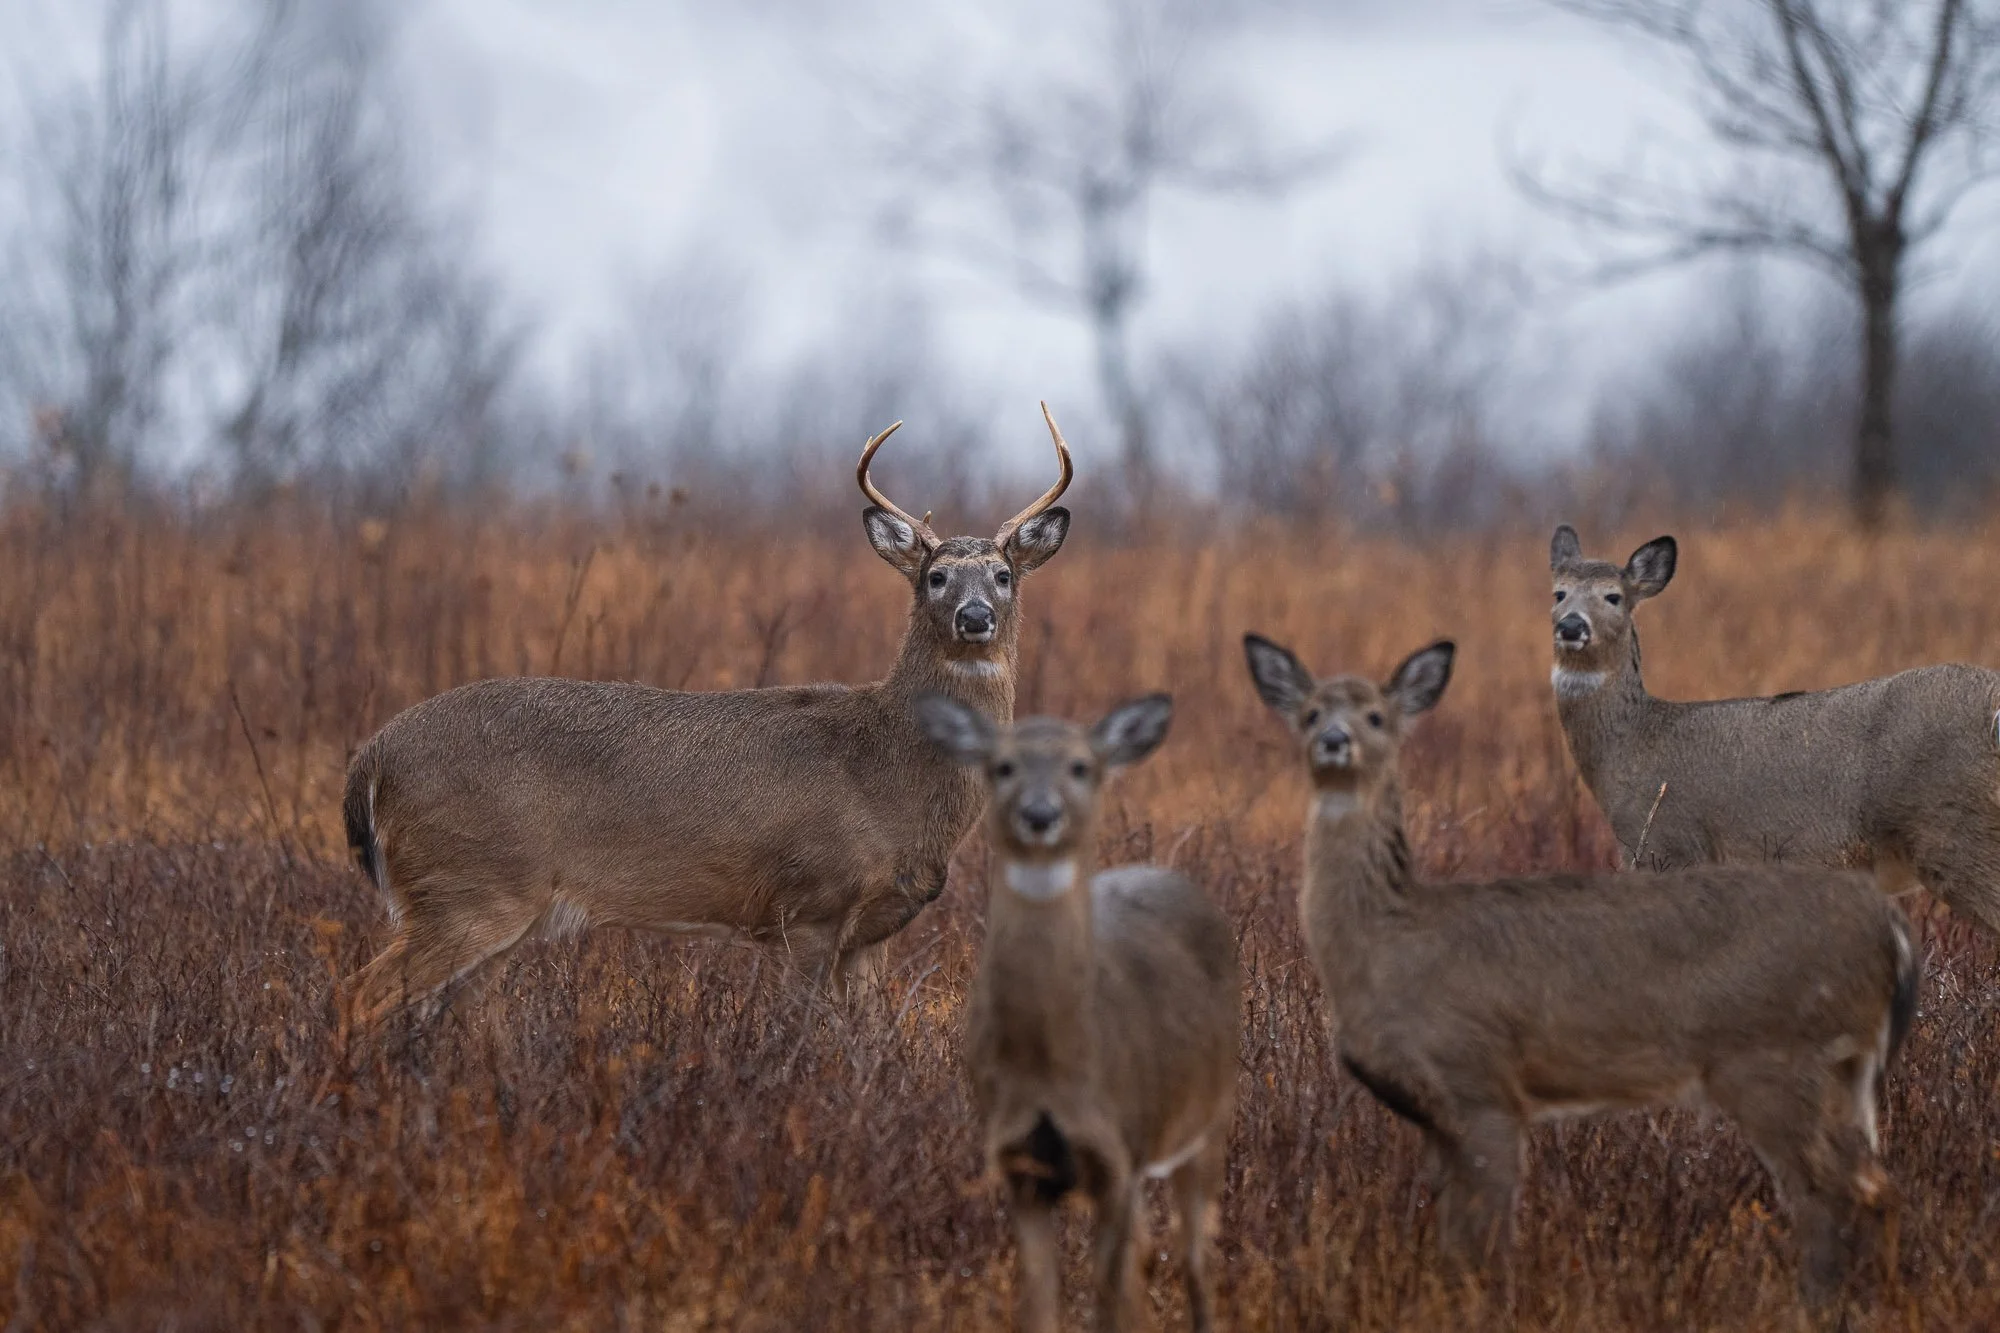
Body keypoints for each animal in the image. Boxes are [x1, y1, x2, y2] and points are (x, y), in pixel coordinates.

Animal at [339, 406, 1076, 1027]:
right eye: (935, 577)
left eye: (1003, 575)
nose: (974, 617)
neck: (889, 770)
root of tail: (369, 759)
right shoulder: (808, 906)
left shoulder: (872, 933)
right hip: (469, 887)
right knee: (357, 997)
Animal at [915, 692, 1241, 1333]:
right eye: (1003, 766)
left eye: (1080, 767)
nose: (1041, 815)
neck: (1053, 1069)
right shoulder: (1019, 1164)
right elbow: (1040, 1303)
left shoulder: (1120, 1151)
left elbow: (1107, 1299)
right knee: (1149, 1255)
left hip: (1207, 1120)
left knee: (1195, 1259)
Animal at [1244, 632, 1919, 1308]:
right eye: (1309, 713)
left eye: (1376, 716)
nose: (1335, 740)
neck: (1388, 941)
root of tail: (1889, 928)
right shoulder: (1439, 1118)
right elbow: (1453, 1247)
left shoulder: (1481, 1085)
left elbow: (1486, 1249)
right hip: (1837, 1073)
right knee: (1877, 1189)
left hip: (1775, 1060)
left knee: (1833, 1195)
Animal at [1549, 524, 2000, 935]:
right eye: (1558, 593)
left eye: (1613, 596)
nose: (1571, 626)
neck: (1630, 746)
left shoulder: (1664, 843)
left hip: (1955, 832)